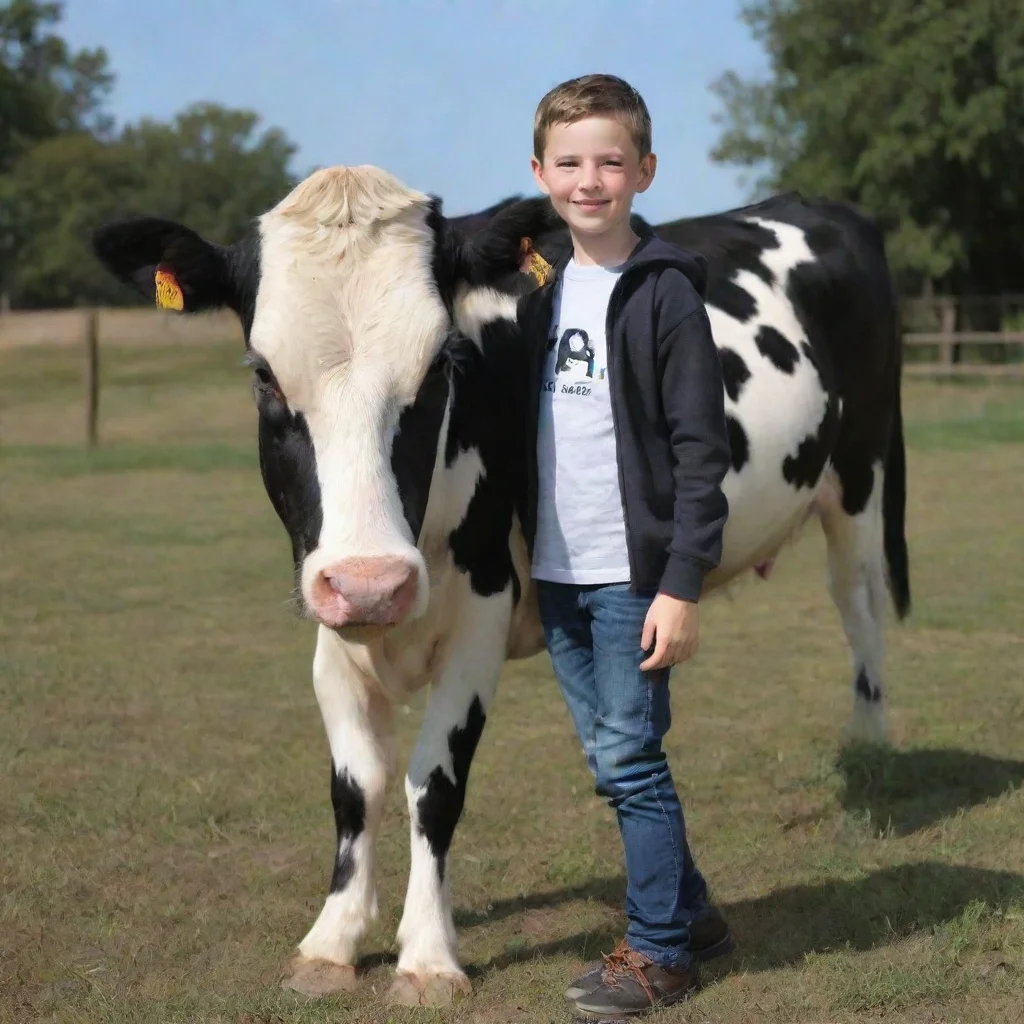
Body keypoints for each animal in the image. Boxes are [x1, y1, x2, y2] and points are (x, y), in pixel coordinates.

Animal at [90, 165, 910, 1007]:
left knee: (859, 606)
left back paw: (869, 746)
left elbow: (433, 783)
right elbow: (356, 784)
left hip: (861, 474)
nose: (373, 586)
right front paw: (334, 938)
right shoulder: (328, 617)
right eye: (263, 376)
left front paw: (425, 954)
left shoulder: (479, 613)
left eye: (442, 365)